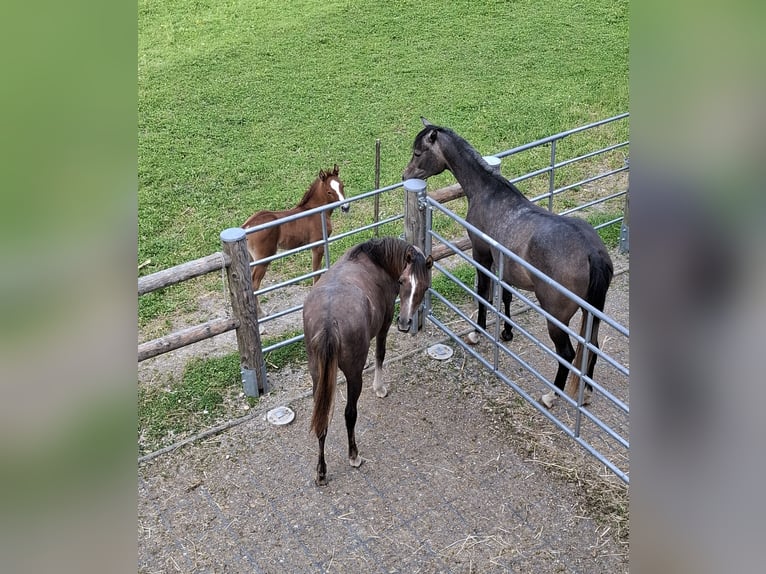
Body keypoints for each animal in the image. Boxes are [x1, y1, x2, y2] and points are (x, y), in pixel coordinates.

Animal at [242, 165, 350, 320]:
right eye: (329, 191)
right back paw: (262, 314)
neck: (315, 211)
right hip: (263, 259)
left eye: (342, 186)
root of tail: (247, 226)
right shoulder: (317, 246)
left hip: (251, 259)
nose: (345, 207)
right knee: (255, 285)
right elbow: (316, 271)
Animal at [304, 237, 436, 486]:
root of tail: (329, 322)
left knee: (321, 418)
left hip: (318, 376)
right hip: (353, 376)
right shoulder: (385, 324)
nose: (405, 323)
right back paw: (354, 456)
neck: (377, 260)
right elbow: (380, 355)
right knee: (349, 414)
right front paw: (380, 388)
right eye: (402, 281)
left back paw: (321, 472)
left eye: (424, 287)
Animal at [404, 119, 616, 410]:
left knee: (567, 353)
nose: (405, 175)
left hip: (557, 317)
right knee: (591, 347)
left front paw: (477, 332)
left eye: (417, 152)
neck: (489, 193)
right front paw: (506, 332)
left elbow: (484, 294)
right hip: (591, 311)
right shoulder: (504, 265)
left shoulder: (482, 255)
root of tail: (591, 252)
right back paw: (585, 394)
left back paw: (551, 395)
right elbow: (505, 298)